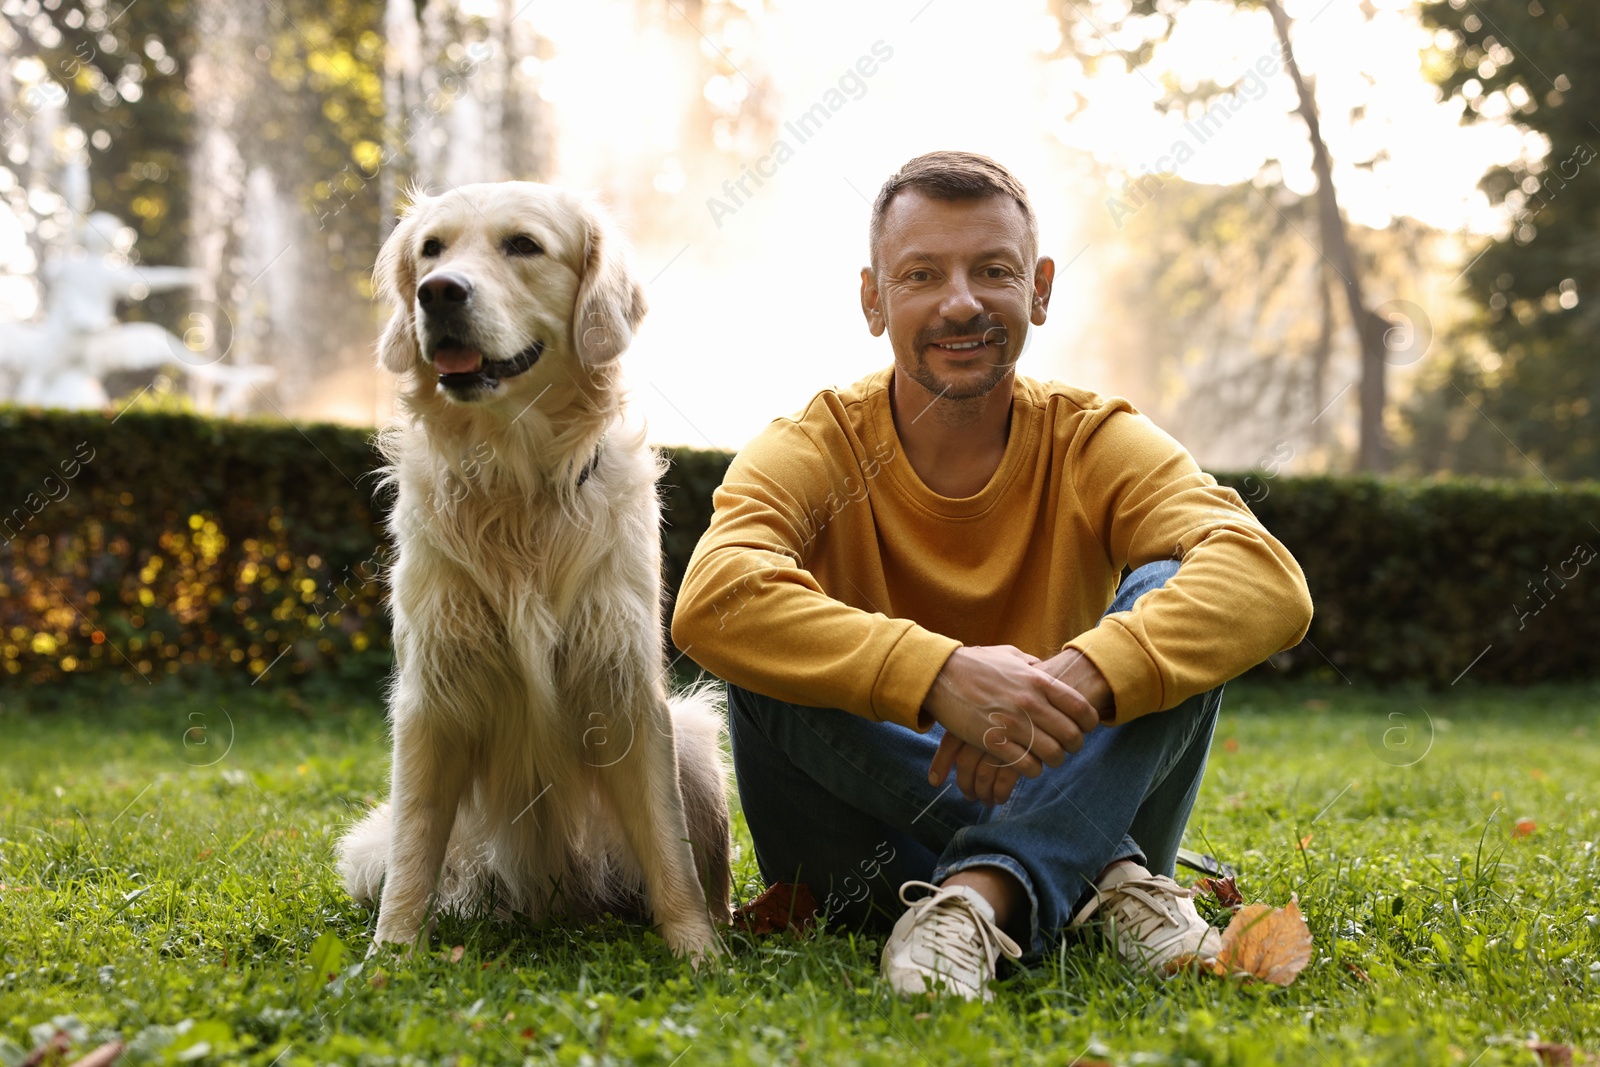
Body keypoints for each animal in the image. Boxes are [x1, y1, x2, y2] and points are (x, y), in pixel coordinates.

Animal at [340, 181, 732, 959]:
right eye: (431, 249)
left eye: (523, 245)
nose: (437, 292)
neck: (516, 484)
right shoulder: (431, 695)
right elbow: (412, 851)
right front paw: (388, 957)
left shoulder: (626, 684)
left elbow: (669, 847)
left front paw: (699, 952)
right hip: (372, 848)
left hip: (697, 738)